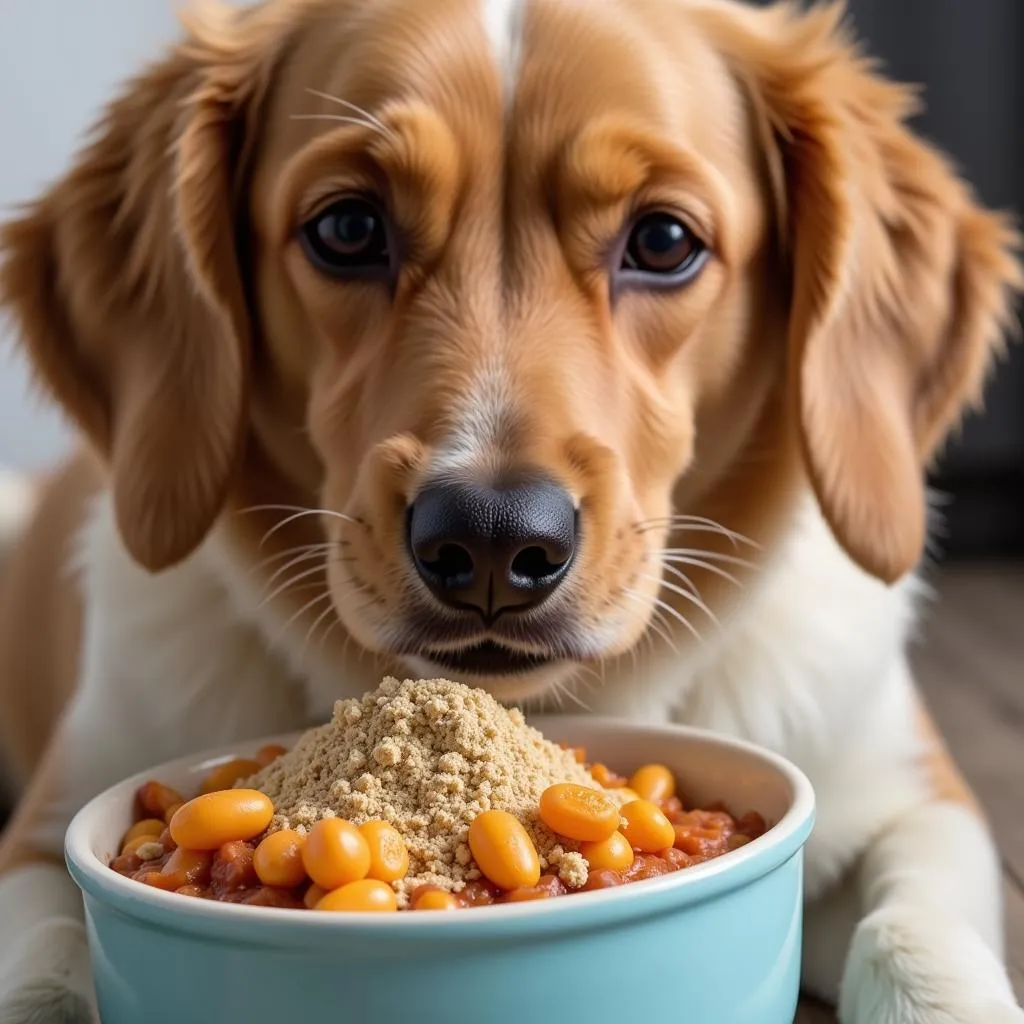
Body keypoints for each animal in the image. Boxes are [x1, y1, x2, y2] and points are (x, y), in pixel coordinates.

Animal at [2, 0, 1024, 1019]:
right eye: (347, 227)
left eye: (663, 242)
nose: (491, 540)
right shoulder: (41, 834)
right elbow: (44, 965)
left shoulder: (919, 803)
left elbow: (911, 934)